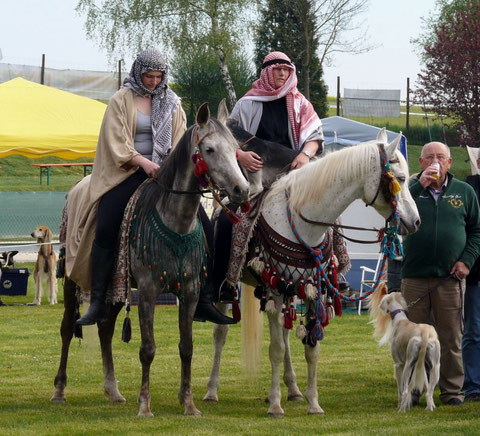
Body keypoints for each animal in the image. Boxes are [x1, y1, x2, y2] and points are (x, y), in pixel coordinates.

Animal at [202, 129, 420, 416]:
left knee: (284, 334)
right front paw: (275, 405)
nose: (415, 222)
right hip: (231, 289)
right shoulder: (275, 291)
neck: (302, 220)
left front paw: (313, 403)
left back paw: (293, 390)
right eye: (401, 179)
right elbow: (274, 349)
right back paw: (212, 391)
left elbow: (310, 350)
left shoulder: (311, 291)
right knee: (220, 335)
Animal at [370, 282, 440, 412]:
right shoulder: (424, 365)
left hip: (408, 364)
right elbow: (426, 385)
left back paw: (401, 410)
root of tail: (424, 332)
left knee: (406, 390)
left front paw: (399, 404)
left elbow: (400, 390)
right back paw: (429, 408)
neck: (400, 320)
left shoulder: (399, 364)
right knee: (430, 392)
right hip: (435, 366)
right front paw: (431, 405)